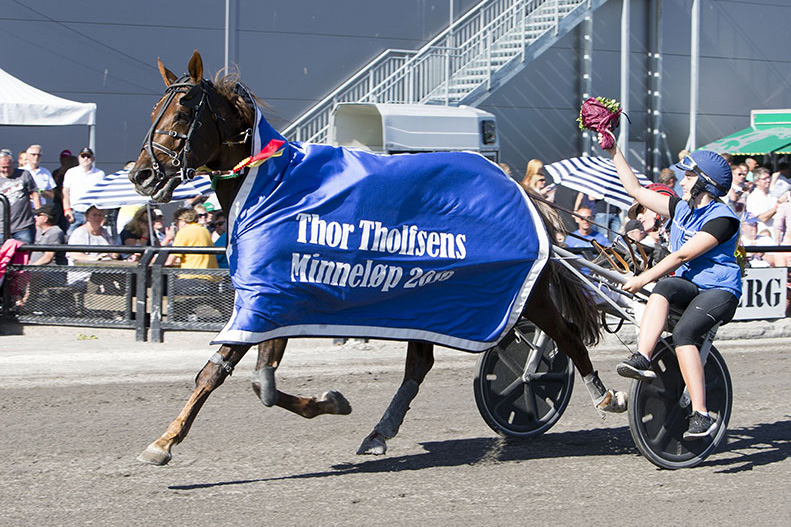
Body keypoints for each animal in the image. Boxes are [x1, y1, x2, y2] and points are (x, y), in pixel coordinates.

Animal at [128, 50, 624, 466]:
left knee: (566, 335)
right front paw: (167, 440)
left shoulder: (274, 297)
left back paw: (605, 395)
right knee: (419, 365)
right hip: (428, 301)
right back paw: (380, 431)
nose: (141, 174)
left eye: (185, 110)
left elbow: (244, 380)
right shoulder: (271, 300)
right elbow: (241, 379)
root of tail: (519, 187)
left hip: (530, 293)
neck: (274, 187)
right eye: (153, 112)